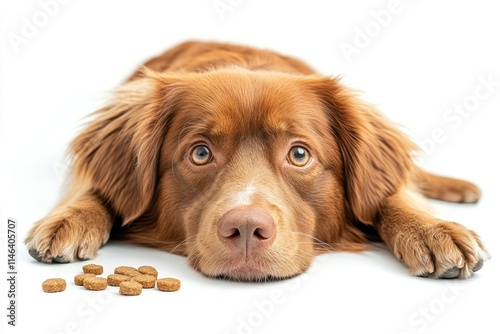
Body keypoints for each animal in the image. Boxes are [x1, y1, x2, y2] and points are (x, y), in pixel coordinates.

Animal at [24, 41, 488, 282]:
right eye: (200, 153)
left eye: (299, 154)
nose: (246, 229)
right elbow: (93, 189)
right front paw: (70, 219)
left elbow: (390, 195)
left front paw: (431, 230)